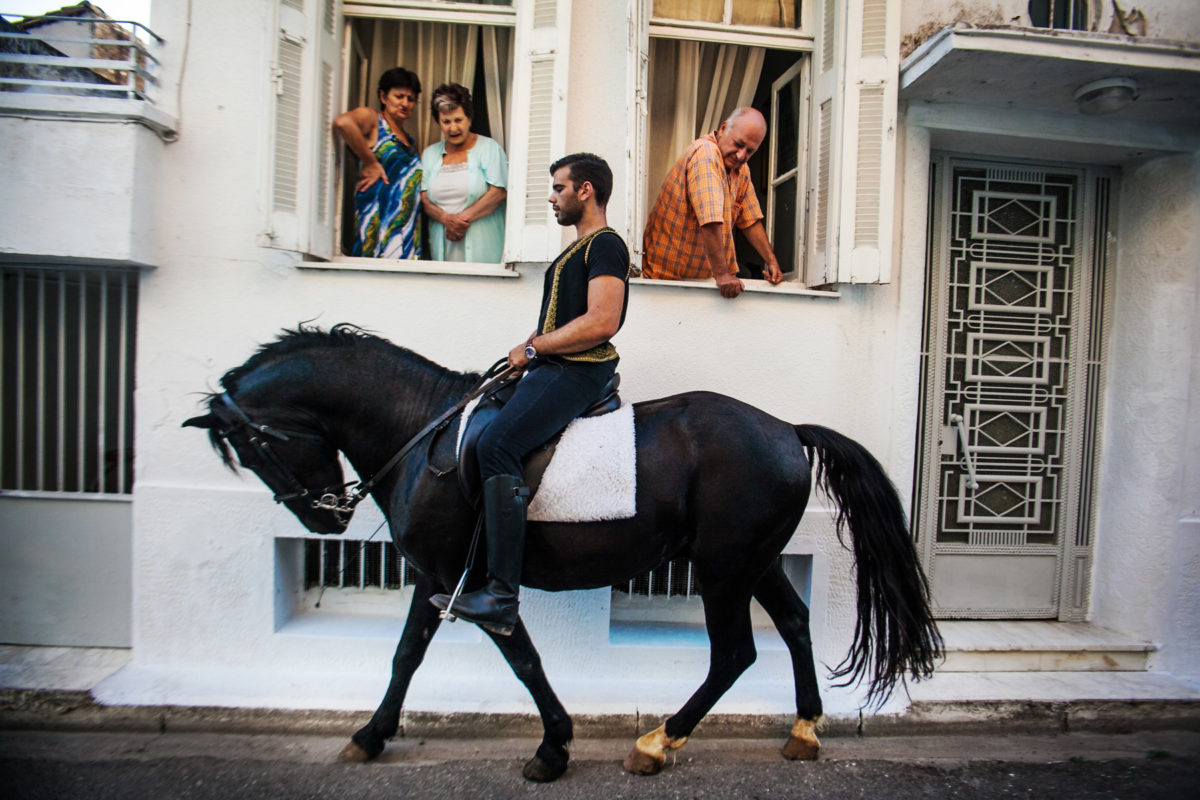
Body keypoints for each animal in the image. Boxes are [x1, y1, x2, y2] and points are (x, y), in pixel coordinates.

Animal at [184, 321, 936, 777]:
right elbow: (409, 657)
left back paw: (657, 742)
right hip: (754, 560)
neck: (419, 430)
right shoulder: (437, 576)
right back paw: (803, 731)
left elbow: (517, 658)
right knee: (796, 623)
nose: (323, 520)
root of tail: (787, 429)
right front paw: (371, 735)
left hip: (723, 567)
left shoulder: (468, 582)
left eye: (253, 448)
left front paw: (552, 746)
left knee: (735, 654)